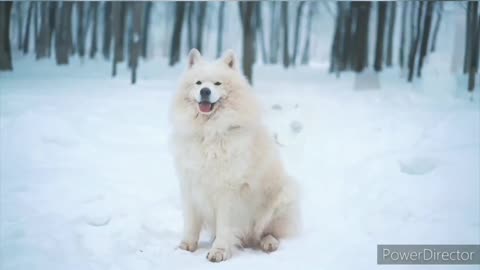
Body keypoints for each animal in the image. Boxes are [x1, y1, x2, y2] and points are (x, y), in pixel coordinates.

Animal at [171, 48, 300, 262]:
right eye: (198, 83)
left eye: (217, 83)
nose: (205, 91)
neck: (210, 133)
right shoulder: (190, 184)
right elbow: (191, 222)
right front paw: (186, 246)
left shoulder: (228, 190)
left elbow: (225, 227)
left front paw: (219, 251)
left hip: (283, 197)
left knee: (267, 232)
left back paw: (268, 242)